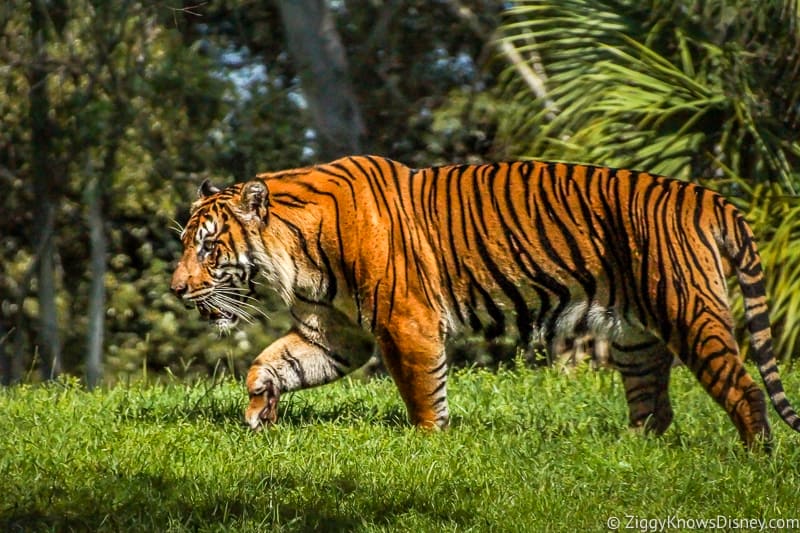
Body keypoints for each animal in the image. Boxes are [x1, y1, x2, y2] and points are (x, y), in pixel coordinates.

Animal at [172, 154, 800, 448]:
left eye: (207, 246)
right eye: (186, 244)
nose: (177, 289)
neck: (292, 252)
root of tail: (709, 197)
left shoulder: (405, 323)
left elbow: (423, 391)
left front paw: (428, 446)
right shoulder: (335, 334)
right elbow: (268, 364)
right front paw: (260, 414)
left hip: (688, 310)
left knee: (744, 388)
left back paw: (754, 459)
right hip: (635, 336)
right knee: (654, 407)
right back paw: (632, 450)